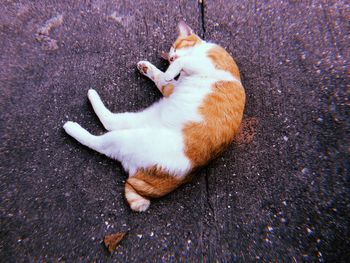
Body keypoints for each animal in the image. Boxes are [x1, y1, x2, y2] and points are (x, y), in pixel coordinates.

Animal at [63, 21, 245, 213]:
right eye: (169, 56)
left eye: (176, 48)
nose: (171, 57)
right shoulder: (173, 86)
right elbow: (162, 78)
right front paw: (149, 68)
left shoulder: (208, 64)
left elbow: (181, 63)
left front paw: (169, 70)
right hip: (136, 121)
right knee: (109, 122)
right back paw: (91, 96)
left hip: (128, 137)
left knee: (99, 140)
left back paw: (72, 126)